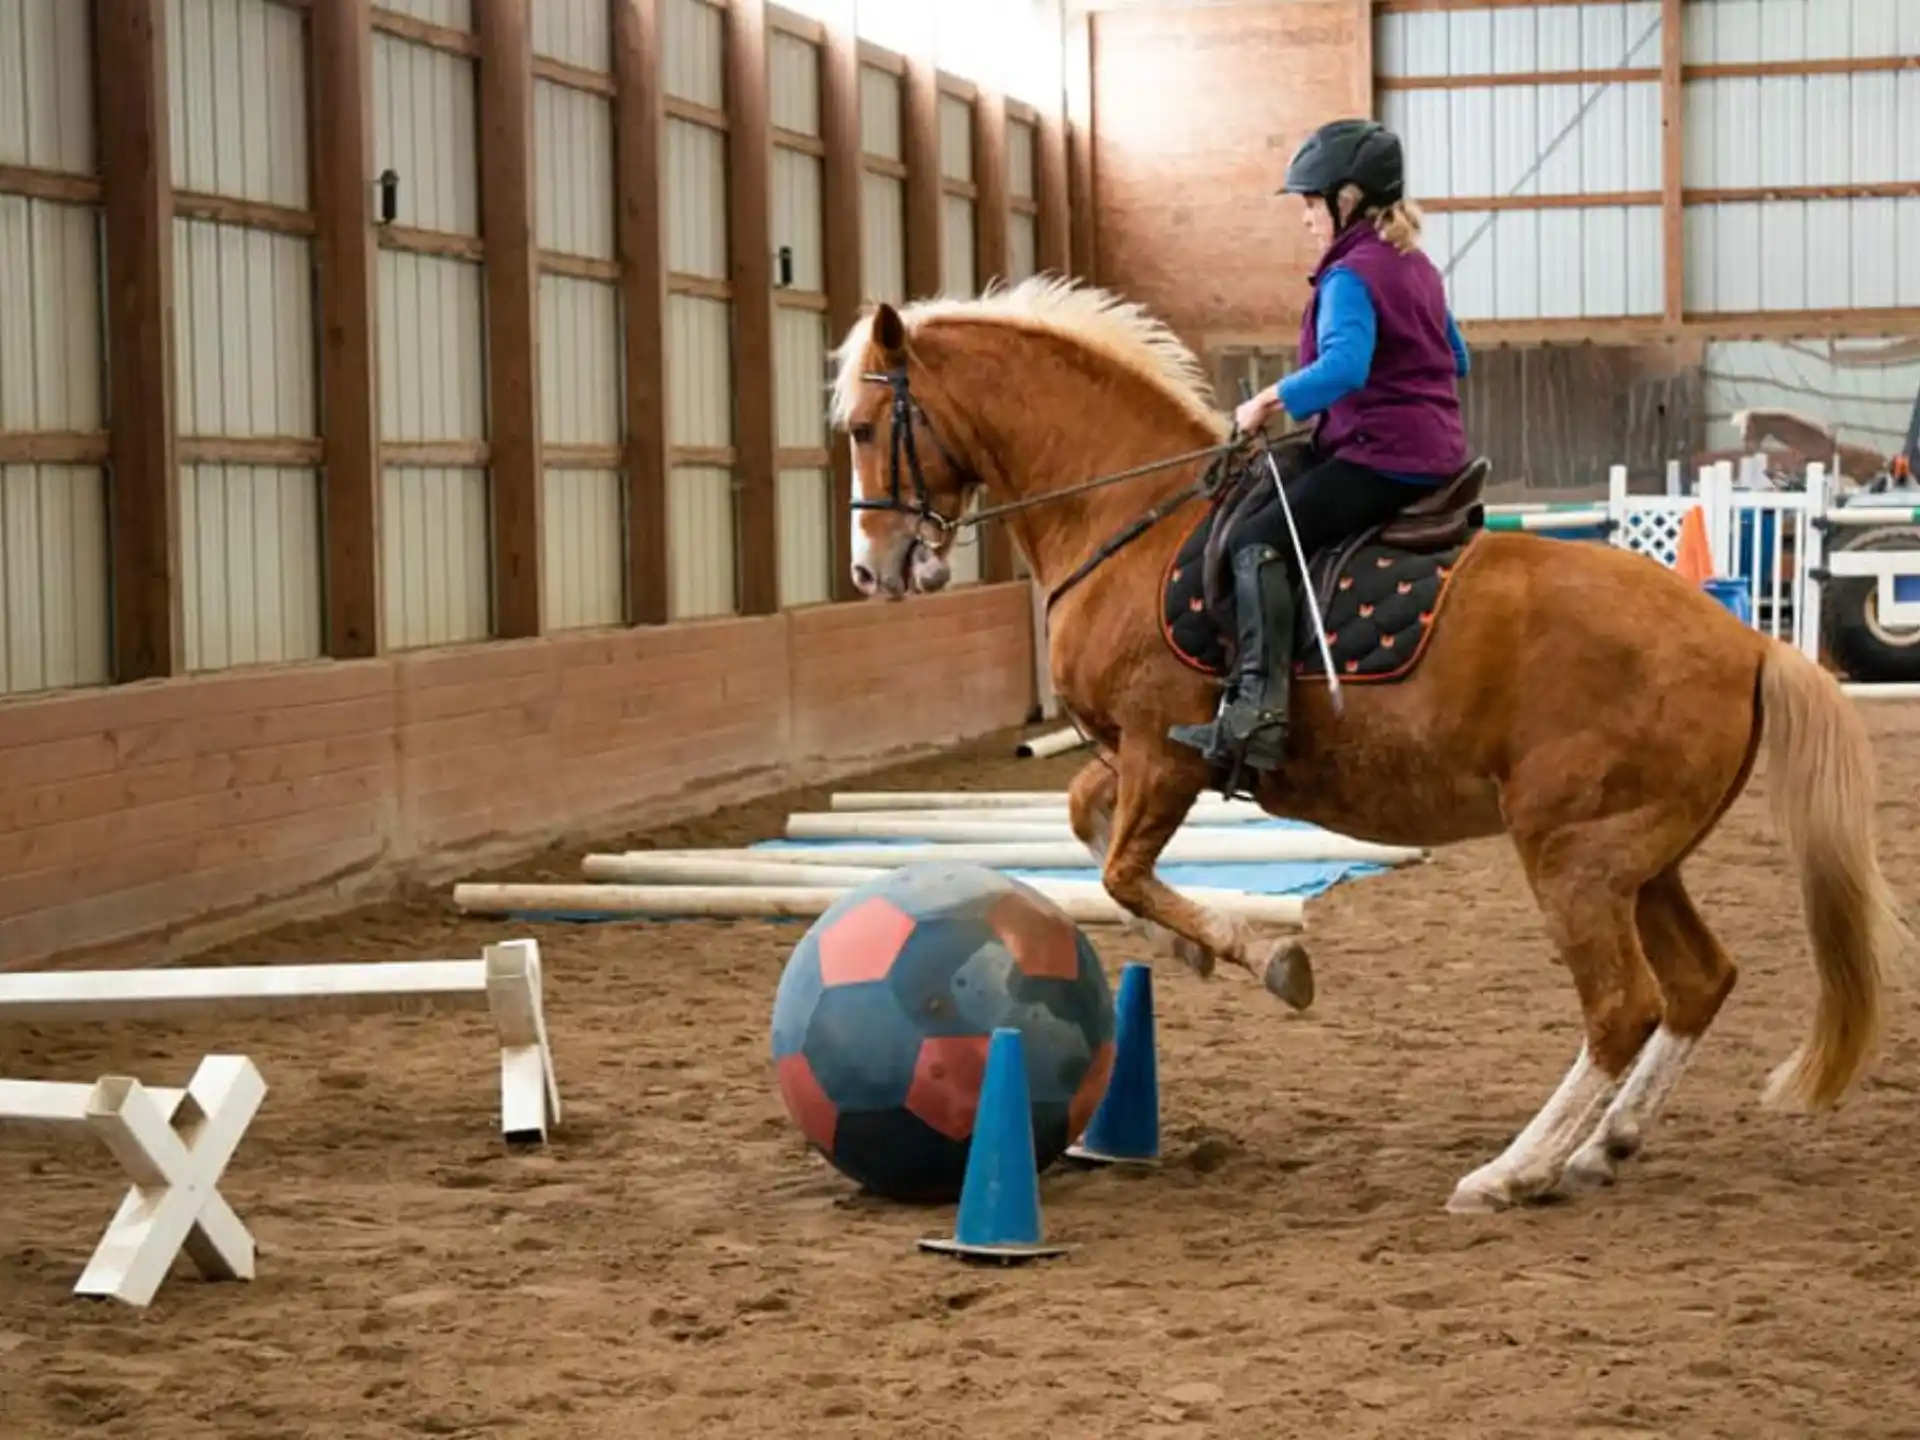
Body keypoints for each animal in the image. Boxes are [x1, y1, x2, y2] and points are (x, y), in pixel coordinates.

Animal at [826, 274, 1911, 1215]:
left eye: (867, 429)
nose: (874, 569)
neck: (1128, 522)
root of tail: (1747, 642)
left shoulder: (1165, 753)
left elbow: (1123, 872)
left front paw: (1265, 958)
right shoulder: (1135, 756)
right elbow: (1083, 820)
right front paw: (1186, 951)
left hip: (1576, 855)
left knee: (1622, 1006)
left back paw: (1512, 1171)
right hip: (1643, 860)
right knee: (1698, 983)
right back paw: (1607, 1144)